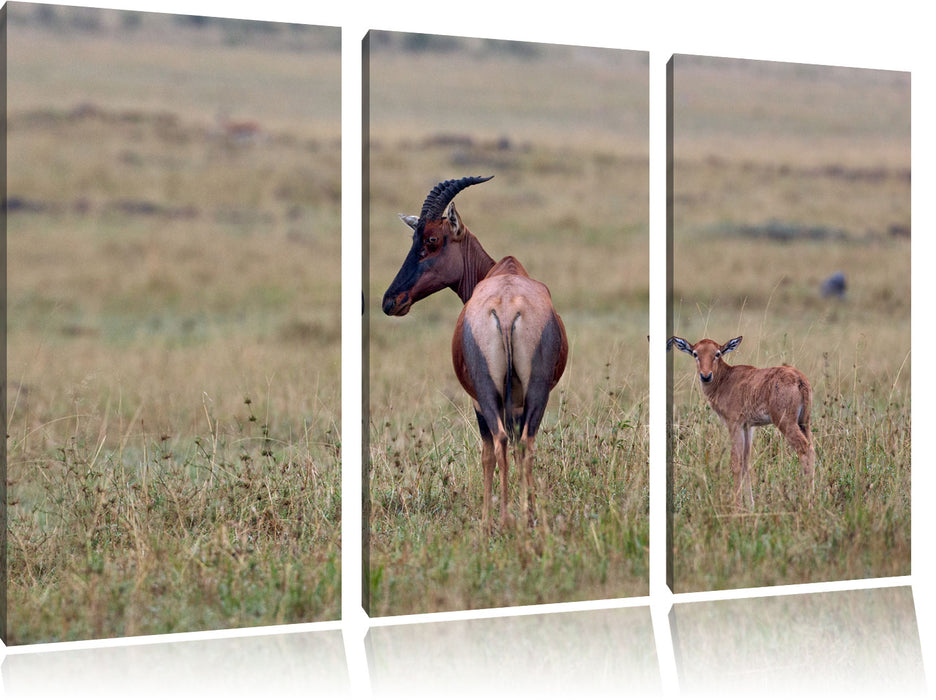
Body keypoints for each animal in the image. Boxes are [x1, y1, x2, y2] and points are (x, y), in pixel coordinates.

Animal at [382, 176, 572, 532]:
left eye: (432, 239)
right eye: (414, 237)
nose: (391, 301)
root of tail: (507, 306)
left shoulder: (477, 401)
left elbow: (485, 454)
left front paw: (486, 519)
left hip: (487, 390)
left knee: (499, 442)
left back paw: (502, 520)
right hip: (537, 390)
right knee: (524, 443)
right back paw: (523, 517)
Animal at [668, 334, 816, 508]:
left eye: (717, 353)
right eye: (695, 353)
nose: (706, 376)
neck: (726, 379)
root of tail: (799, 379)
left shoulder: (735, 425)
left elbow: (736, 462)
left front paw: (737, 505)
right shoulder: (747, 427)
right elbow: (746, 462)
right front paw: (750, 505)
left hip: (786, 422)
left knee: (805, 449)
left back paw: (808, 501)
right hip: (804, 422)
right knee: (812, 449)